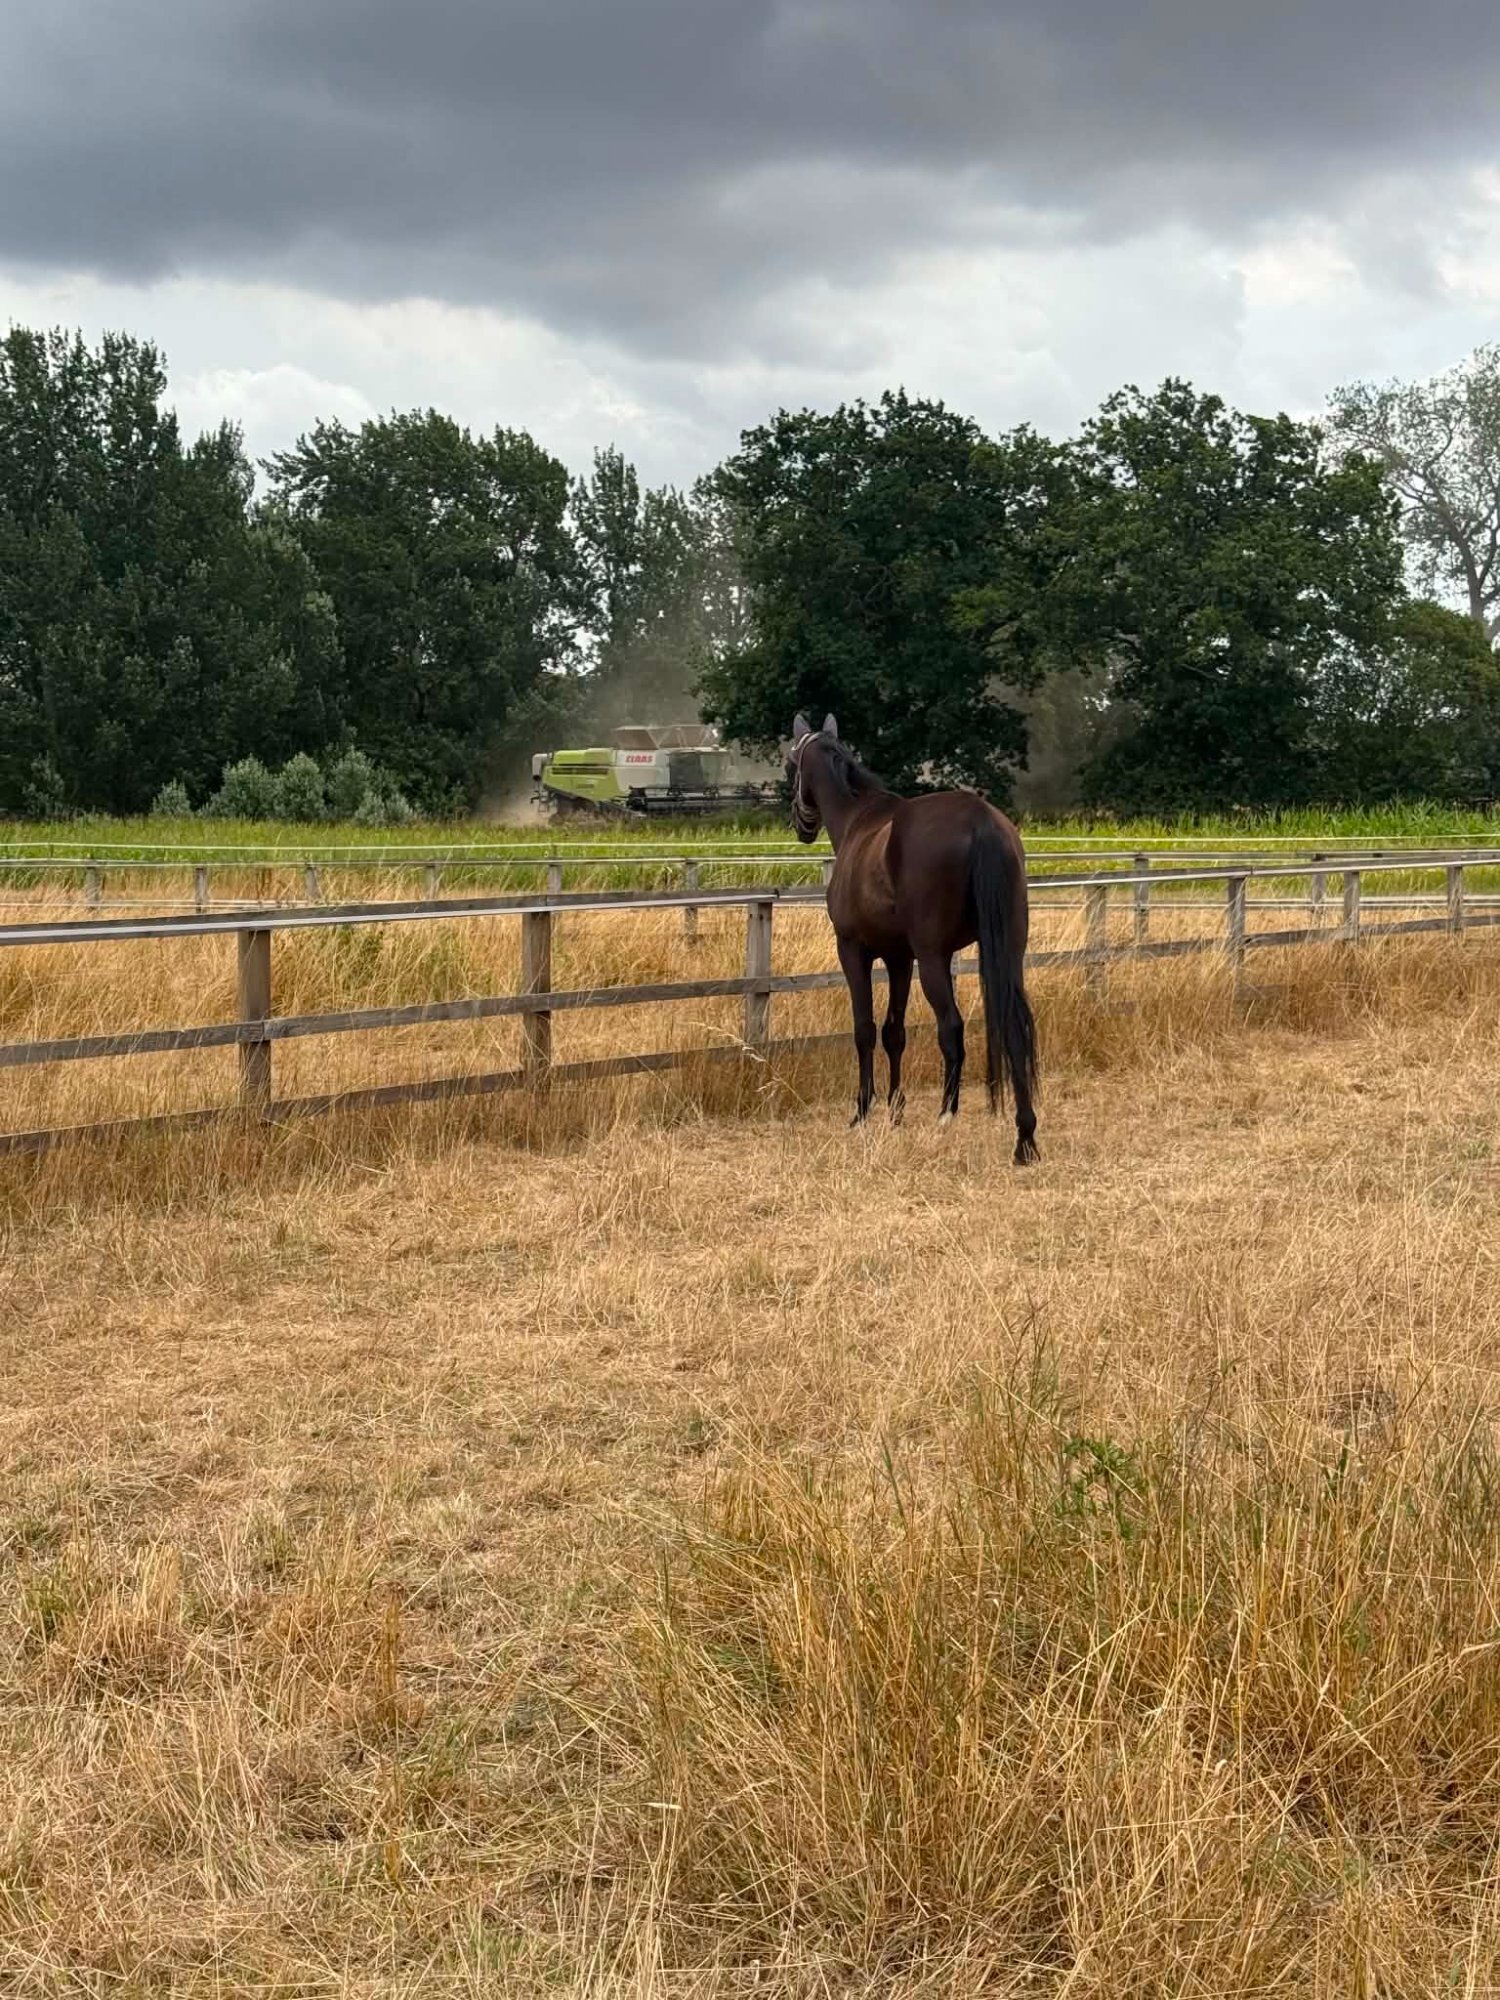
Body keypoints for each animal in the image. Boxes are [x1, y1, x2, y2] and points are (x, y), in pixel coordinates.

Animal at [786, 713, 1039, 1164]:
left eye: (790, 765)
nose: (801, 824)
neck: (858, 822)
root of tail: (982, 821)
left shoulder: (854, 951)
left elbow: (865, 1028)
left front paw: (863, 1110)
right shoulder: (899, 958)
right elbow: (894, 1032)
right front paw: (895, 1110)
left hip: (933, 958)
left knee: (951, 1027)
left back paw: (946, 1116)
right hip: (1007, 952)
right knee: (1015, 1025)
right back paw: (1024, 1136)